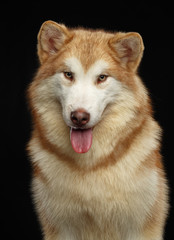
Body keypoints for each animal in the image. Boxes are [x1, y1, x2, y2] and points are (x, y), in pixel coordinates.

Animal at [27, 21, 169, 240]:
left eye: (102, 77)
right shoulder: (60, 228)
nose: (79, 117)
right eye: (68, 74)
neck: (91, 166)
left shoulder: (141, 227)